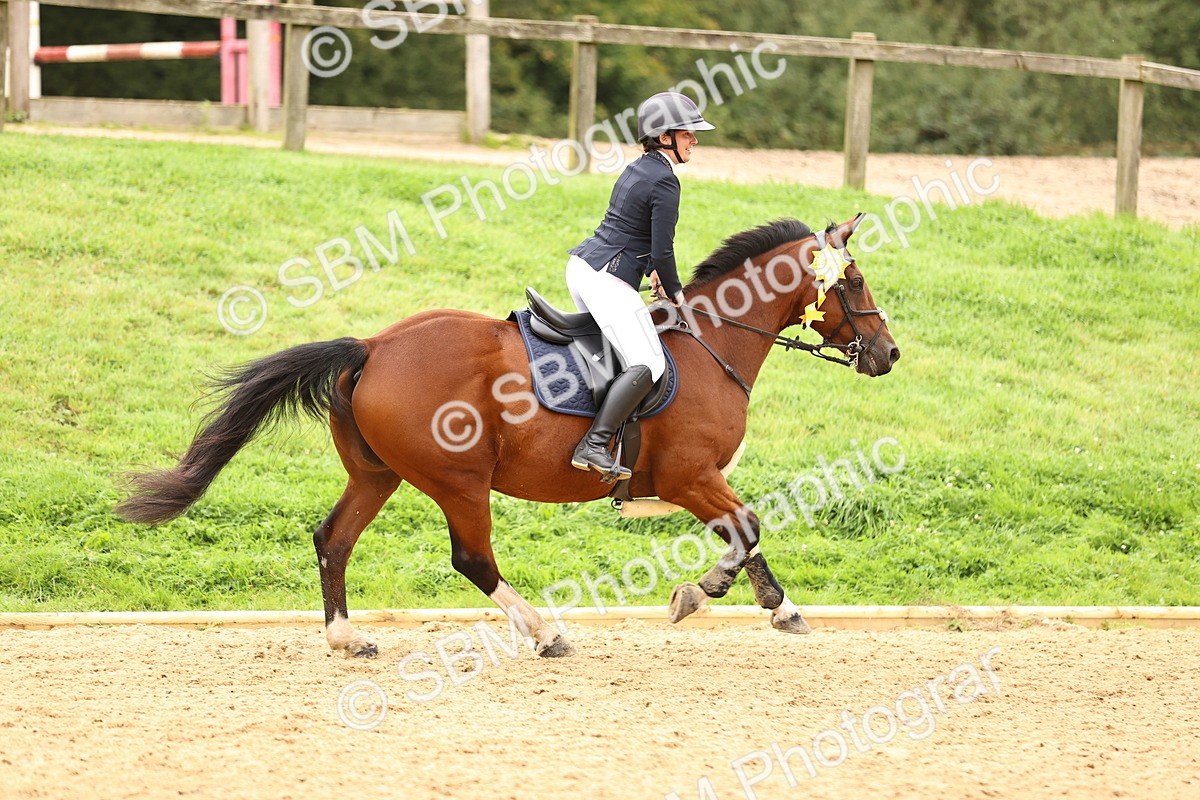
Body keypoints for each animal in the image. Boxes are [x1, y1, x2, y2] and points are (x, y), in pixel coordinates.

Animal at [115, 214, 899, 658]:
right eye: (856, 279)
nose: (888, 354)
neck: (715, 340)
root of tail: (373, 346)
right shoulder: (689, 476)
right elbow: (749, 526)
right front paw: (707, 596)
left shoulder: (692, 483)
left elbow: (748, 530)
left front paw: (768, 606)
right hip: (459, 480)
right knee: (471, 559)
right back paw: (546, 633)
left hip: (378, 474)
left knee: (333, 539)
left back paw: (346, 637)